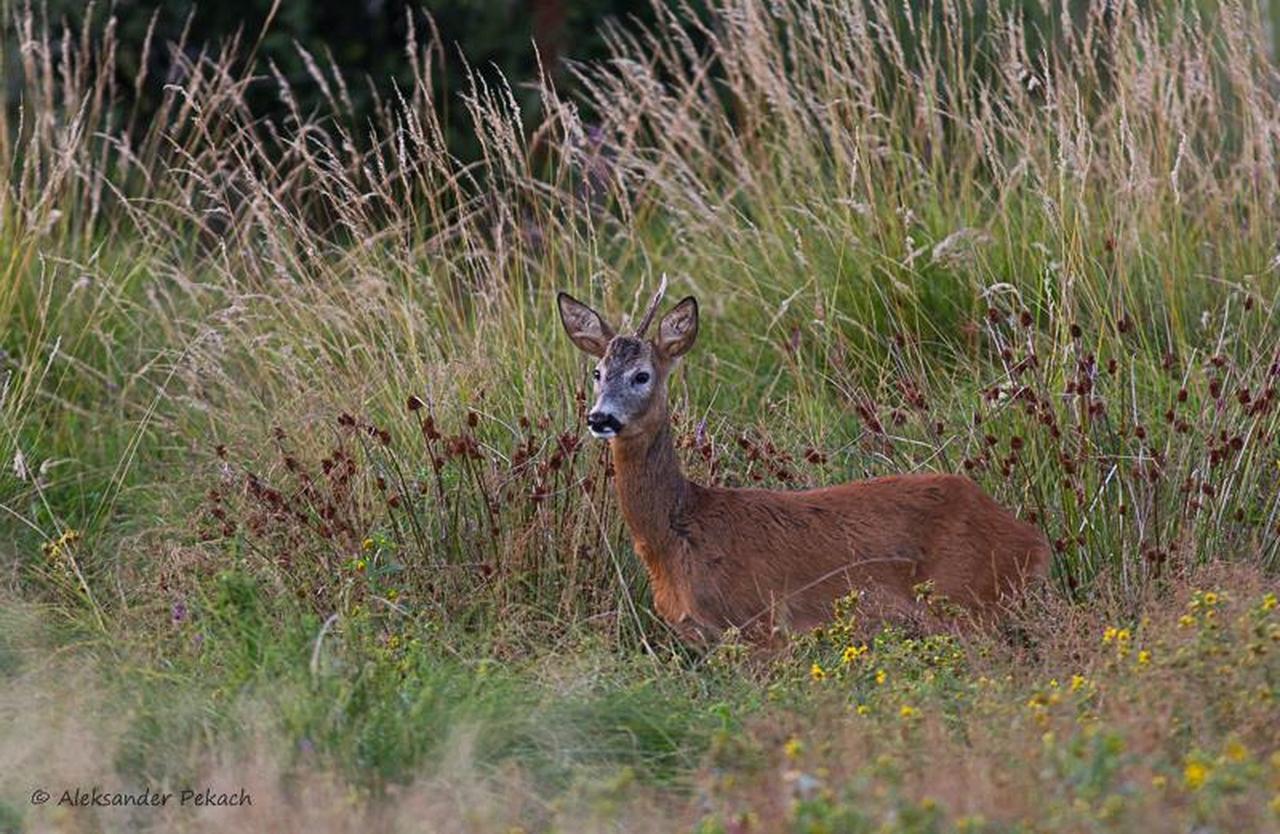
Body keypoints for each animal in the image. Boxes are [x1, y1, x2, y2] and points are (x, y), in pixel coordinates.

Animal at [560, 283, 1049, 642]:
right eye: (597, 373)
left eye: (642, 375)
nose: (600, 417)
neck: (678, 534)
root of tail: (1033, 541)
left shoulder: (760, 622)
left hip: (965, 599)